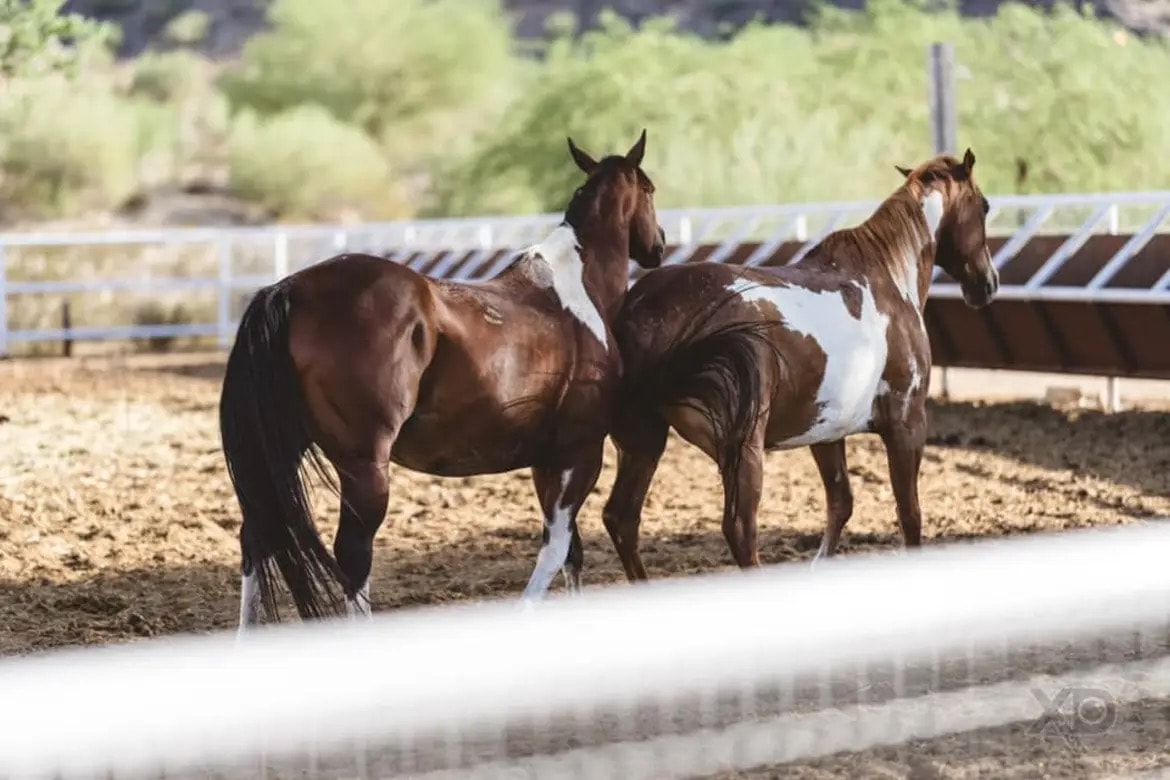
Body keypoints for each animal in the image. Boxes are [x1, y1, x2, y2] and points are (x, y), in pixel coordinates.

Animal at [219, 130, 666, 628]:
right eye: (649, 189)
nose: (659, 246)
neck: (574, 294)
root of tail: (290, 289)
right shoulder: (580, 453)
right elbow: (557, 549)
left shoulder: (547, 459)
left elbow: (572, 553)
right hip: (364, 469)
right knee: (352, 554)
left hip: (284, 453)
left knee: (257, 535)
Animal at [600, 150, 998, 579]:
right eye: (985, 206)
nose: (987, 283)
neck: (886, 282)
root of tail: (644, 307)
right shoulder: (907, 424)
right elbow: (909, 515)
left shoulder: (826, 432)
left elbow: (841, 503)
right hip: (742, 449)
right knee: (739, 528)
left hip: (643, 441)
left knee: (621, 519)